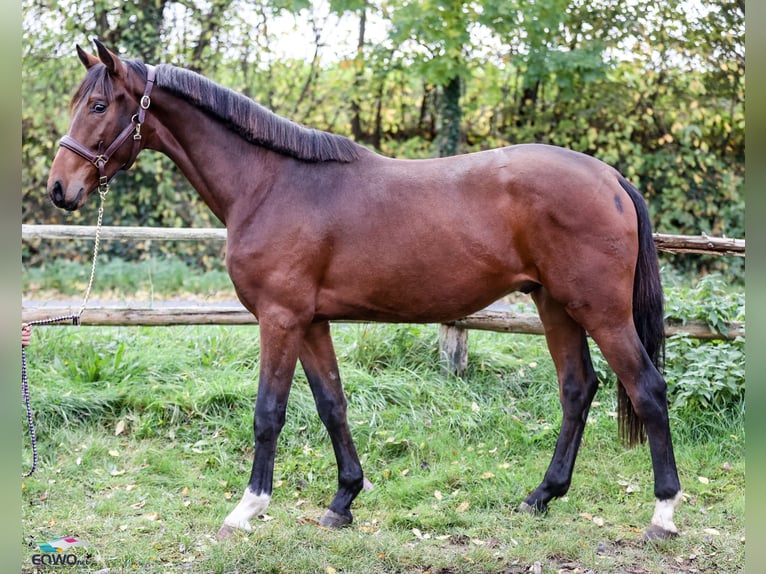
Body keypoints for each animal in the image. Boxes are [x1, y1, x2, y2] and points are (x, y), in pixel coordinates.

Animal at [46, 41, 684, 544]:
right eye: (76, 102)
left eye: (99, 105)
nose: (59, 188)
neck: (270, 184)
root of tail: (610, 177)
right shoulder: (310, 321)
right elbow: (332, 404)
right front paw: (344, 501)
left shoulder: (280, 318)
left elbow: (268, 412)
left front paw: (247, 508)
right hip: (555, 305)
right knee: (577, 389)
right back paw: (541, 496)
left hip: (600, 311)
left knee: (648, 388)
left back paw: (663, 514)